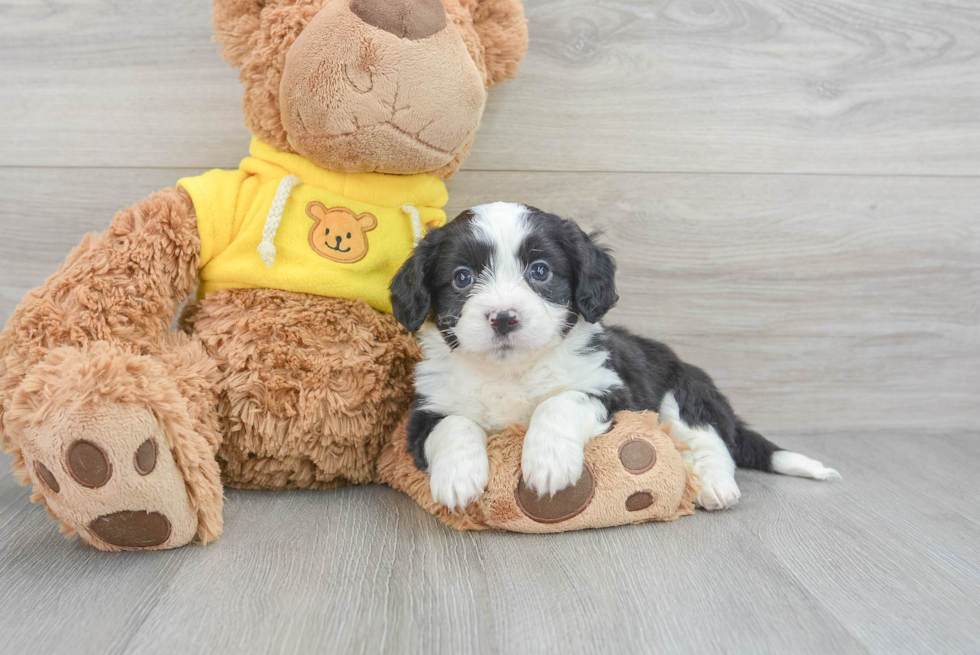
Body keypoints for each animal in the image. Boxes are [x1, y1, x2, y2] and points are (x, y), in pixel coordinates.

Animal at [386, 202, 840, 510]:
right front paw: (458, 477)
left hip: (684, 391)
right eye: (462, 278)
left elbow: (558, 403)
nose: (503, 318)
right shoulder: (426, 411)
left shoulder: (609, 390)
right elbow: (454, 424)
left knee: (710, 441)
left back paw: (713, 484)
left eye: (540, 271)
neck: (511, 372)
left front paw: (548, 462)